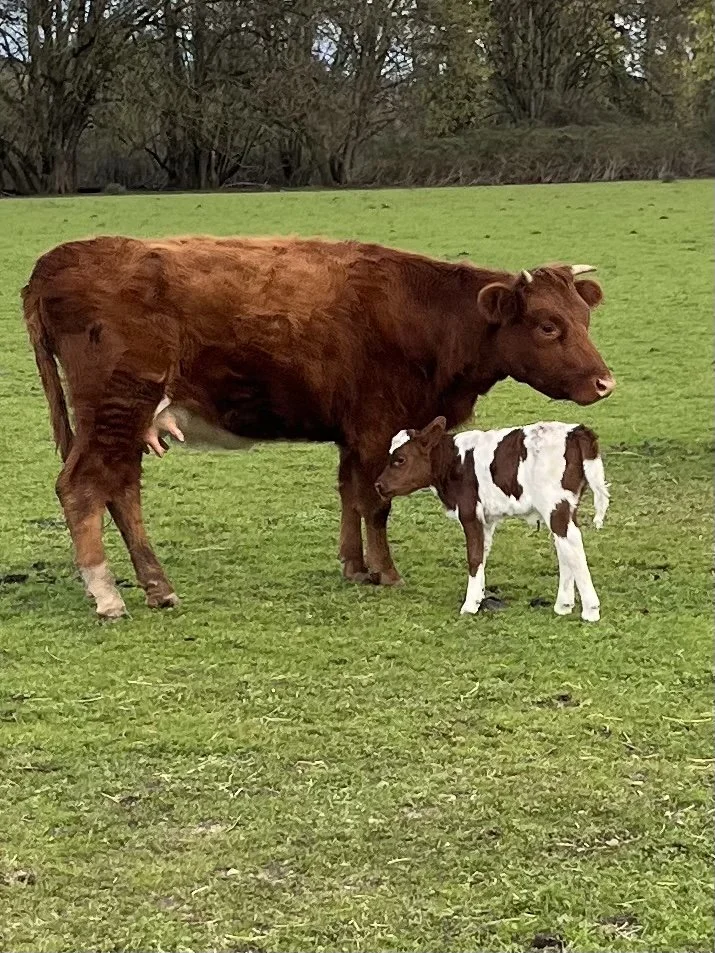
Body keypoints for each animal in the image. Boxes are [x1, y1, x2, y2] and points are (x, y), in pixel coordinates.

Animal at [375, 417, 609, 620]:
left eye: (400, 460)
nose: (378, 485)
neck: (453, 462)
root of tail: (576, 430)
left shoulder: (469, 512)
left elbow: (474, 556)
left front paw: (469, 606)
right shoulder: (487, 520)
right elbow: (483, 553)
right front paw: (479, 598)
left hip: (555, 505)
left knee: (572, 545)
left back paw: (590, 610)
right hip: (566, 507)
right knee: (565, 547)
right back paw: (564, 605)